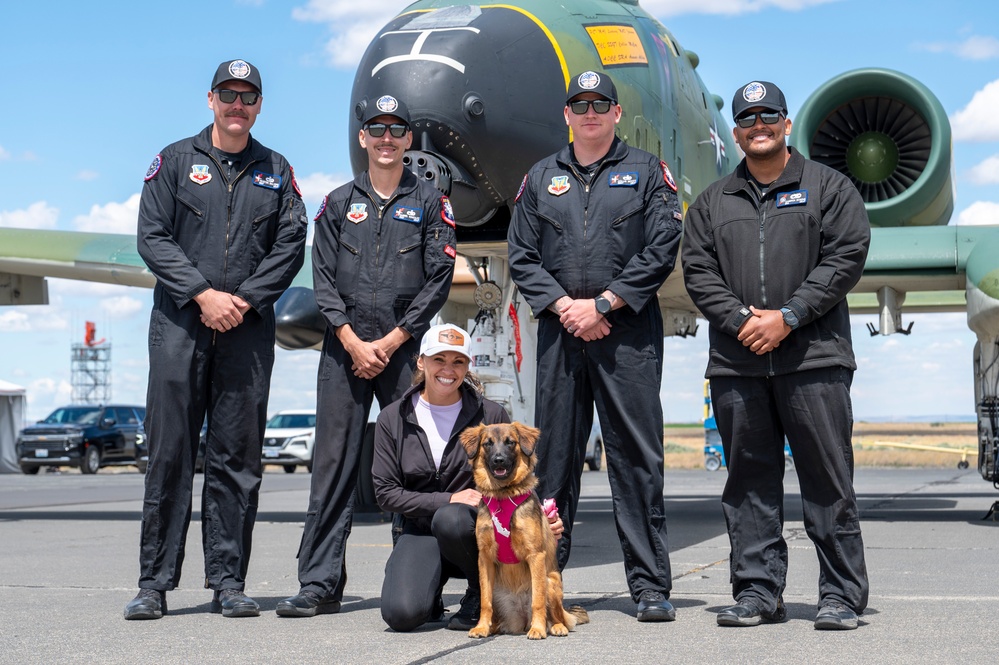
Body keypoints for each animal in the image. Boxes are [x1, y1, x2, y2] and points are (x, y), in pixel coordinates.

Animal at [462, 420, 592, 640]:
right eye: (487, 444)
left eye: (510, 442)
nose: (498, 460)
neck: (503, 496)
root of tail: (521, 620)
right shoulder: (485, 557)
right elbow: (485, 601)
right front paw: (481, 627)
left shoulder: (535, 555)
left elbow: (537, 601)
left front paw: (538, 629)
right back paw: (493, 627)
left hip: (551, 583)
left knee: (556, 616)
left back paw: (555, 627)